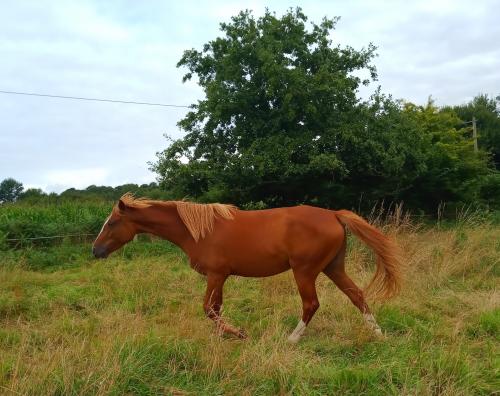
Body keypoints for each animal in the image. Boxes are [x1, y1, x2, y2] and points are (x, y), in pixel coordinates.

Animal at [92, 193, 400, 342]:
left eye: (112, 223)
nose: (95, 250)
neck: (200, 231)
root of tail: (334, 215)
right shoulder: (221, 277)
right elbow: (216, 308)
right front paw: (222, 336)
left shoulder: (215, 275)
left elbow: (208, 309)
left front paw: (237, 333)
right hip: (333, 268)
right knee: (357, 295)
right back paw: (378, 333)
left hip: (305, 272)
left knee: (311, 304)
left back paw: (292, 338)